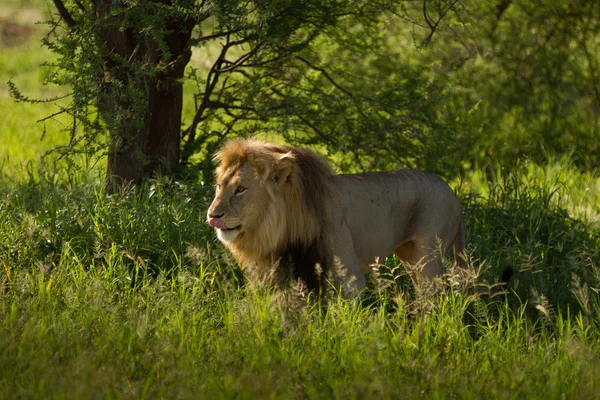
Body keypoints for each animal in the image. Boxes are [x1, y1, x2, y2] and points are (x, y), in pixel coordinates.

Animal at [206, 138, 464, 294]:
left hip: (428, 255)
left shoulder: (349, 278)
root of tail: (451, 191)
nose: (212, 215)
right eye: (218, 187)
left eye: (240, 189)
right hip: (410, 257)